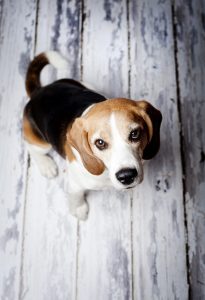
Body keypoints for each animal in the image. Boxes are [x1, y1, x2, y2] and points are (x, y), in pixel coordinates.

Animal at [23, 51, 162, 220]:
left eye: (134, 134)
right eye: (100, 143)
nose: (127, 176)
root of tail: (39, 91)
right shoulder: (75, 183)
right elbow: (76, 196)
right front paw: (78, 208)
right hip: (42, 142)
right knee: (31, 147)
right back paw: (46, 165)